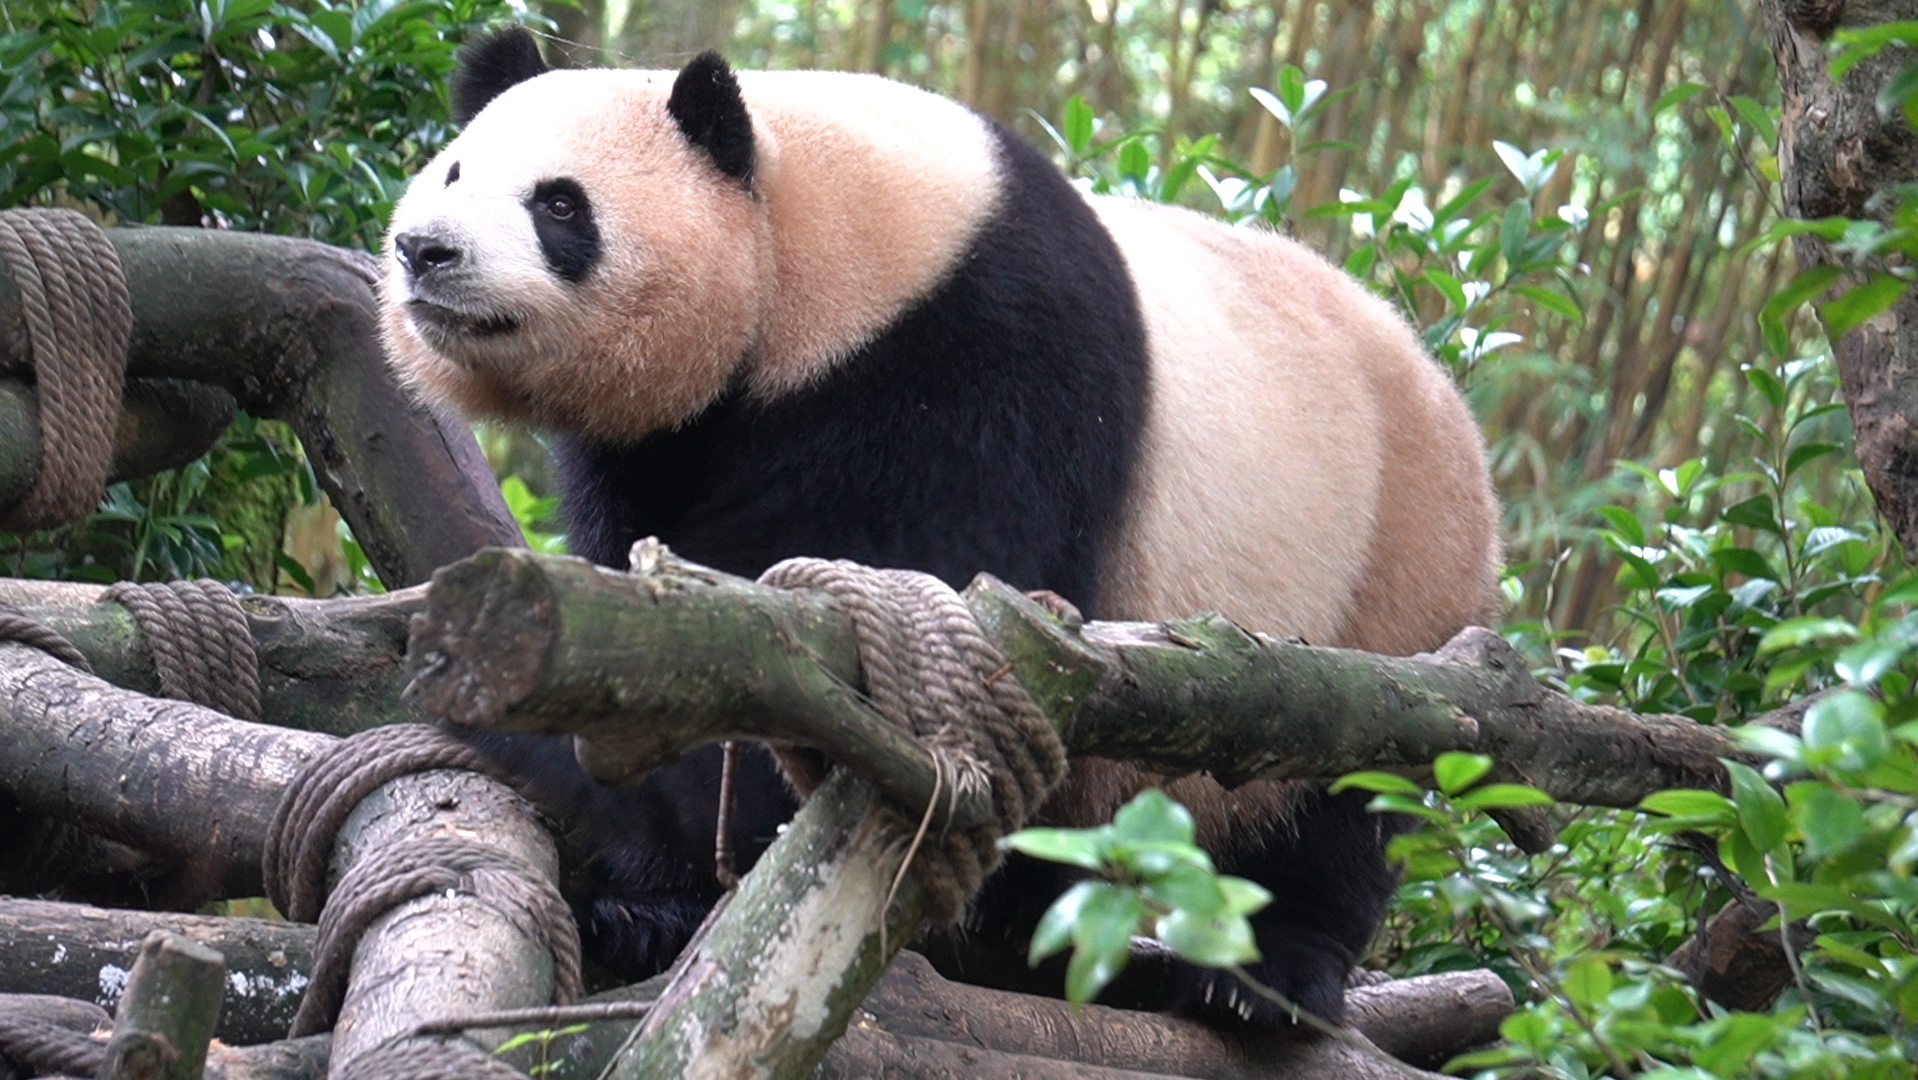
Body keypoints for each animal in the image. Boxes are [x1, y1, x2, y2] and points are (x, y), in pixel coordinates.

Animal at [381, 25, 1503, 1035]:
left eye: (558, 203)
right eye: (451, 169)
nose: (423, 250)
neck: (820, 236)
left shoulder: (969, 360)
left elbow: (808, 643)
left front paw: (579, 792)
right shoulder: (666, 438)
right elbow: (651, 591)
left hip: (1391, 568)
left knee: (1345, 796)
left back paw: (1262, 982)